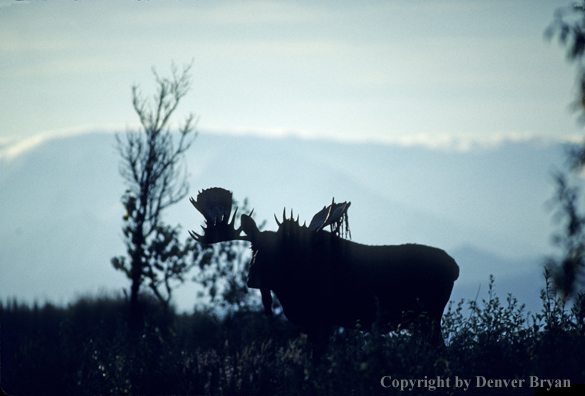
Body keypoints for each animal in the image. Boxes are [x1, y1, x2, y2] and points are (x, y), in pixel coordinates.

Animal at [189, 187, 458, 354]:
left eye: (280, 249)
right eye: (253, 247)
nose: (253, 278)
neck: (290, 290)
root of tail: (455, 268)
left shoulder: (321, 318)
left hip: (429, 318)